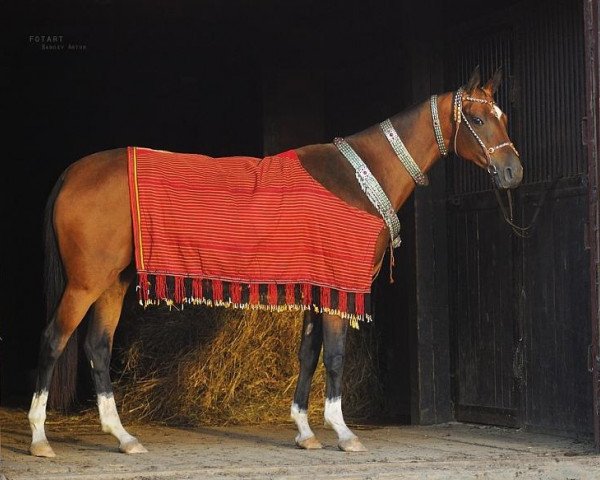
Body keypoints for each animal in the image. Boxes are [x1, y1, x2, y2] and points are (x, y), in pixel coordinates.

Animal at [30, 68, 524, 458]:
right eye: (477, 119)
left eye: (503, 117)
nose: (513, 172)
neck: (358, 178)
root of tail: (73, 173)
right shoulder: (339, 285)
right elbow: (336, 357)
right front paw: (343, 432)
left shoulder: (318, 287)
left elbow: (308, 355)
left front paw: (305, 431)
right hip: (85, 282)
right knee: (54, 340)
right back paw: (39, 439)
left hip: (112, 281)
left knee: (97, 347)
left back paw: (123, 437)